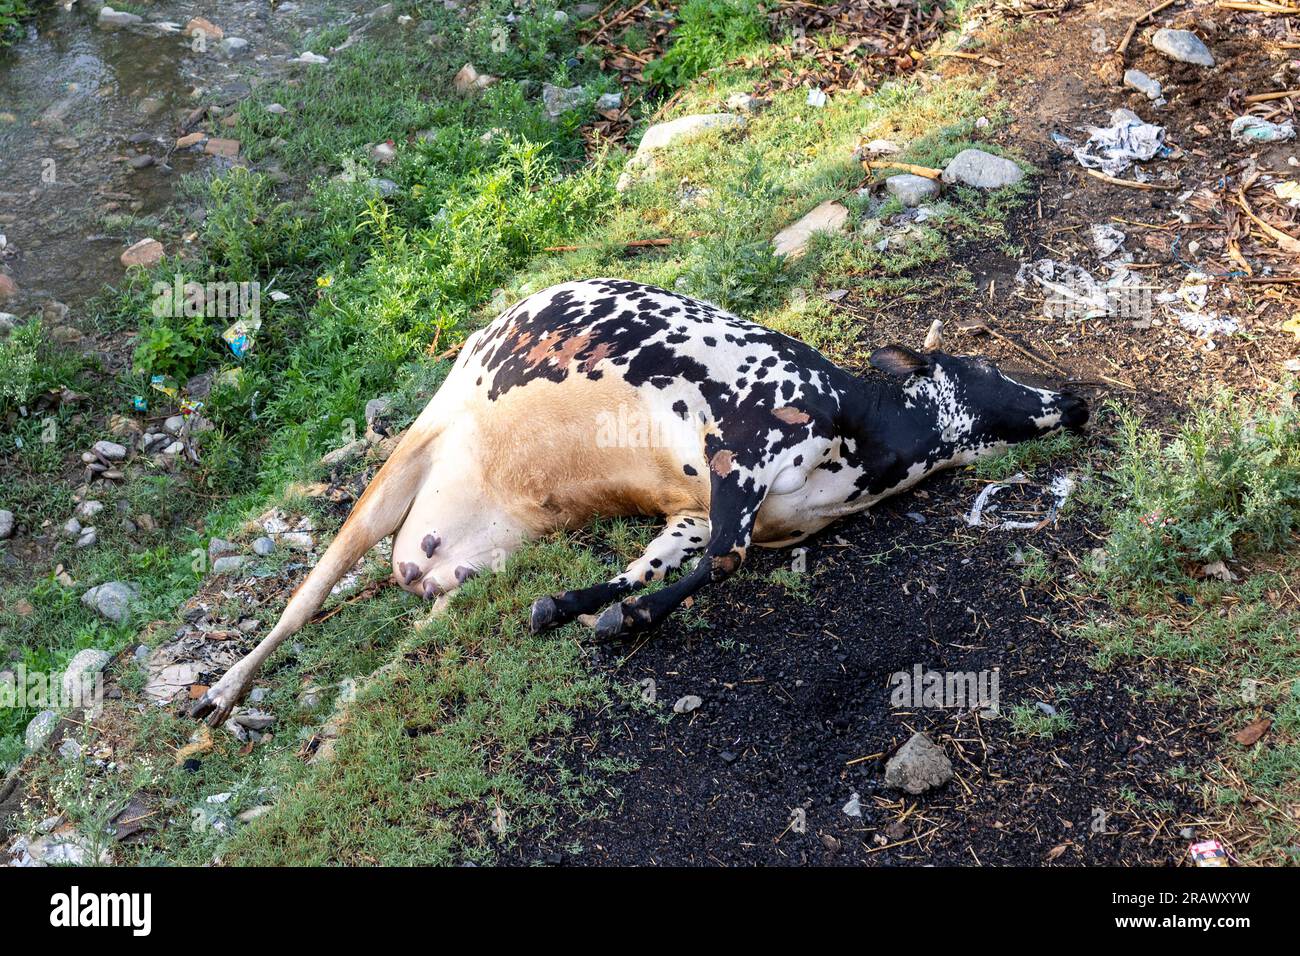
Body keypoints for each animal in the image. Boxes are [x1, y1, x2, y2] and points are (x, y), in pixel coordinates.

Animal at [192, 277, 1086, 723]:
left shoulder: (692, 511)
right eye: (990, 364)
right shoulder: (740, 447)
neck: (864, 439)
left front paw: (576, 607)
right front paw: (622, 621)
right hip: (399, 467)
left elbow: (650, 566)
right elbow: (723, 561)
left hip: (467, 567)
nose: (1076, 398)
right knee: (301, 604)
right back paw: (220, 695)